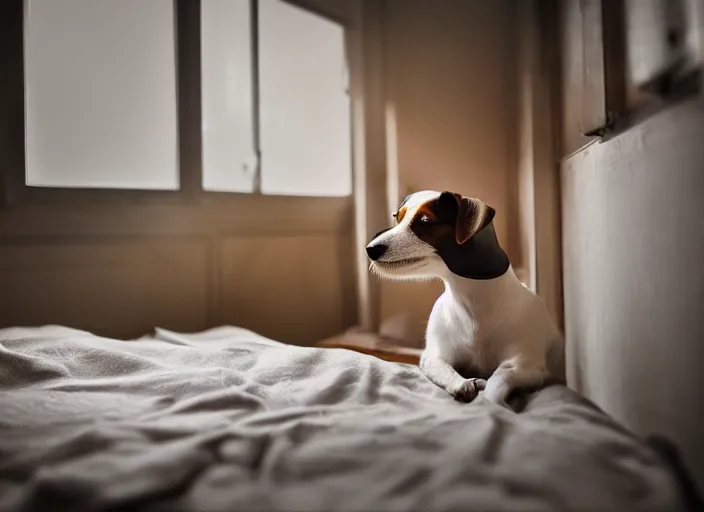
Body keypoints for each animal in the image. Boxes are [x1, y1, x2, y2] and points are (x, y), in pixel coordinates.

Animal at [366, 191, 564, 408]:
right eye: (397, 217)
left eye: (425, 221)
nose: (369, 249)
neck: (472, 300)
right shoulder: (433, 357)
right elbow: (445, 368)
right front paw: (462, 384)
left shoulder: (526, 366)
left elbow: (496, 383)